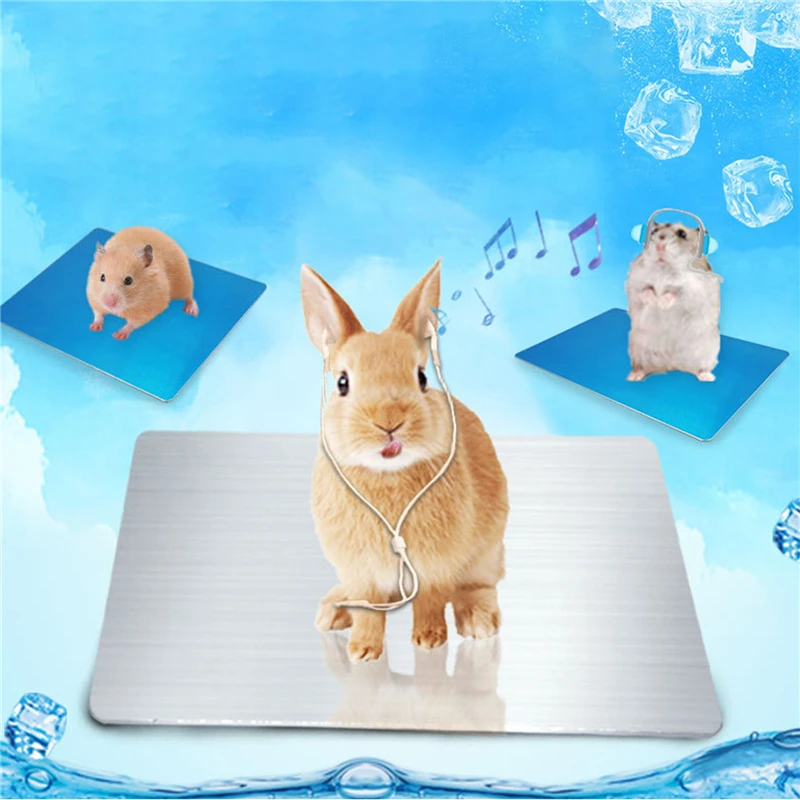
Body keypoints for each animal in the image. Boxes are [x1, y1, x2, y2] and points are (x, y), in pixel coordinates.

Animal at [301, 259, 509, 662]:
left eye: (422, 377)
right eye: (342, 383)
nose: (389, 420)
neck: (386, 474)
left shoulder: (435, 564)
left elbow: (430, 600)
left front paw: (429, 640)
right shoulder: (361, 572)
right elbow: (369, 608)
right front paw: (362, 650)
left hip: (487, 551)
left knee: (478, 584)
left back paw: (478, 620)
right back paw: (332, 610)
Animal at [625, 221, 721, 382]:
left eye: (682, 234)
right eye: (654, 231)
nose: (659, 246)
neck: (665, 266)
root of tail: (673, 365)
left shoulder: (695, 288)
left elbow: (676, 292)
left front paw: (662, 303)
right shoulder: (635, 282)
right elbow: (645, 290)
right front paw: (654, 301)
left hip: (708, 351)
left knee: (700, 368)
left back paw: (708, 377)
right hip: (638, 350)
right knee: (644, 367)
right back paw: (633, 376)